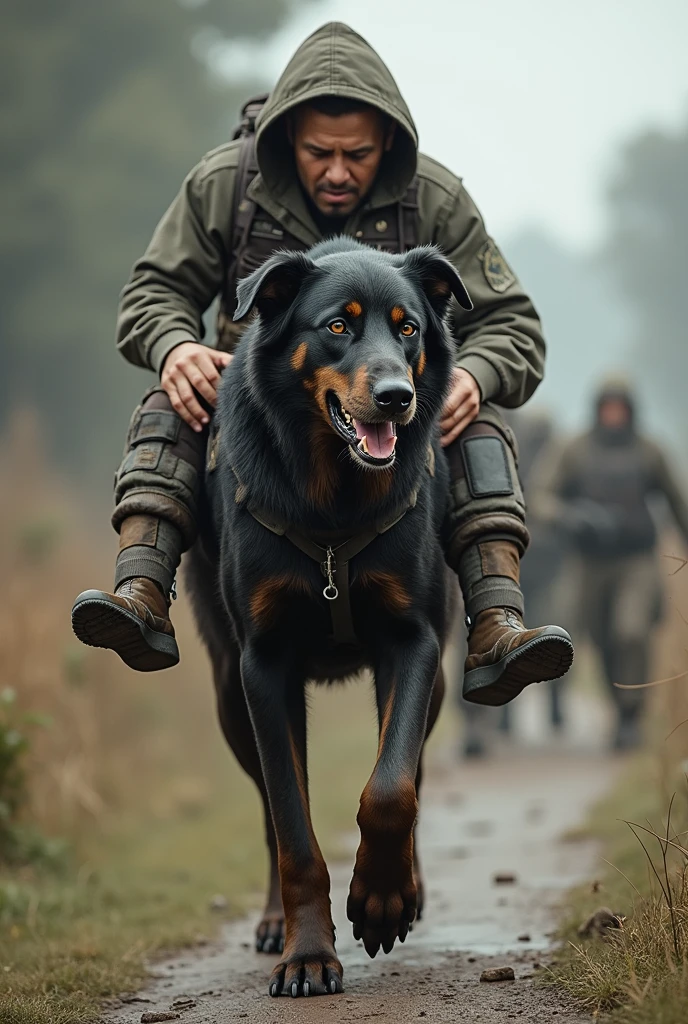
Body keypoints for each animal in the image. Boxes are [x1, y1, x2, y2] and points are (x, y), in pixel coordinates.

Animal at [185, 235, 470, 995]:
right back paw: (275, 922)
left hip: (434, 681)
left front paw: (381, 899)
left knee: (411, 768)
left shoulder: (411, 642)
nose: (397, 398)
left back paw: (408, 887)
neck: (334, 498)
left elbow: (392, 786)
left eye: (408, 328)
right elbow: (292, 825)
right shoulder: (264, 665)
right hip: (228, 695)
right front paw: (307, 955)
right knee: (270, 805)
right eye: (337, 327)